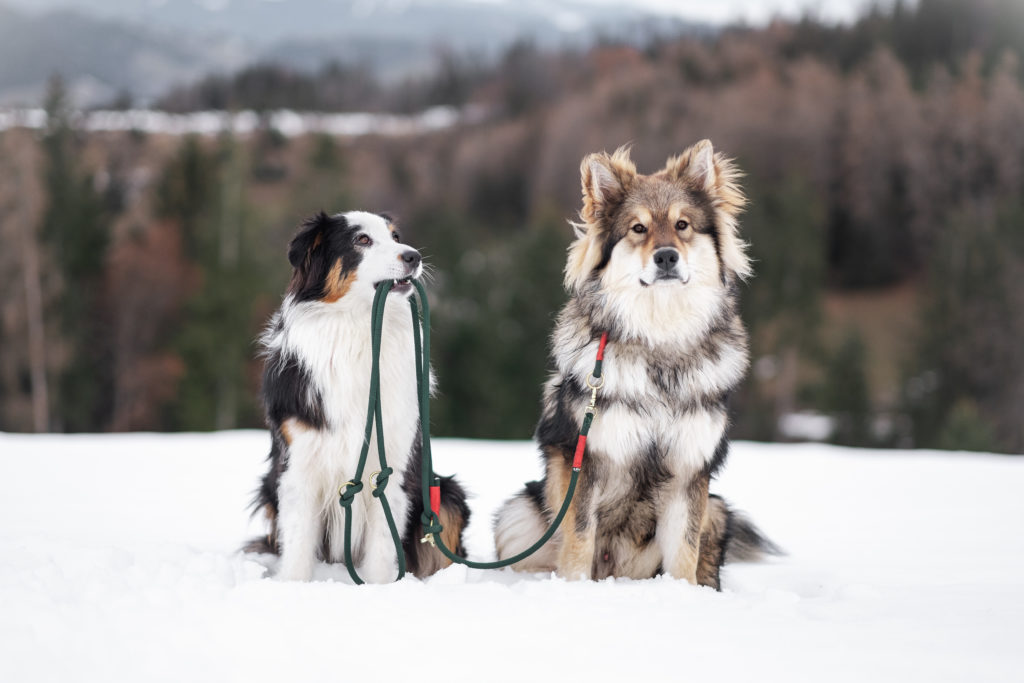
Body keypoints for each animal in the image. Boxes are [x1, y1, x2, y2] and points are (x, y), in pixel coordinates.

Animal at [245, 211, 468, 581]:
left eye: (395, 237)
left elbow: (383, 542)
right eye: (361, 240)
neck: (360, 330)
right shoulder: (298, 461)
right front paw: (292, 585)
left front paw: (379, 586)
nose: (414, 257)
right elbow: (298, 539)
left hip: (445, 494)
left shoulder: (393, 462)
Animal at [491, 140, 770, 589]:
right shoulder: (586, 464)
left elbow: (684, 554)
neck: (659, 340)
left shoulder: (689, 472)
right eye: (638, 228)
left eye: (683, 225)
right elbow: (578, 542)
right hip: (516, 515)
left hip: (717, 510)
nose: (667, 257)